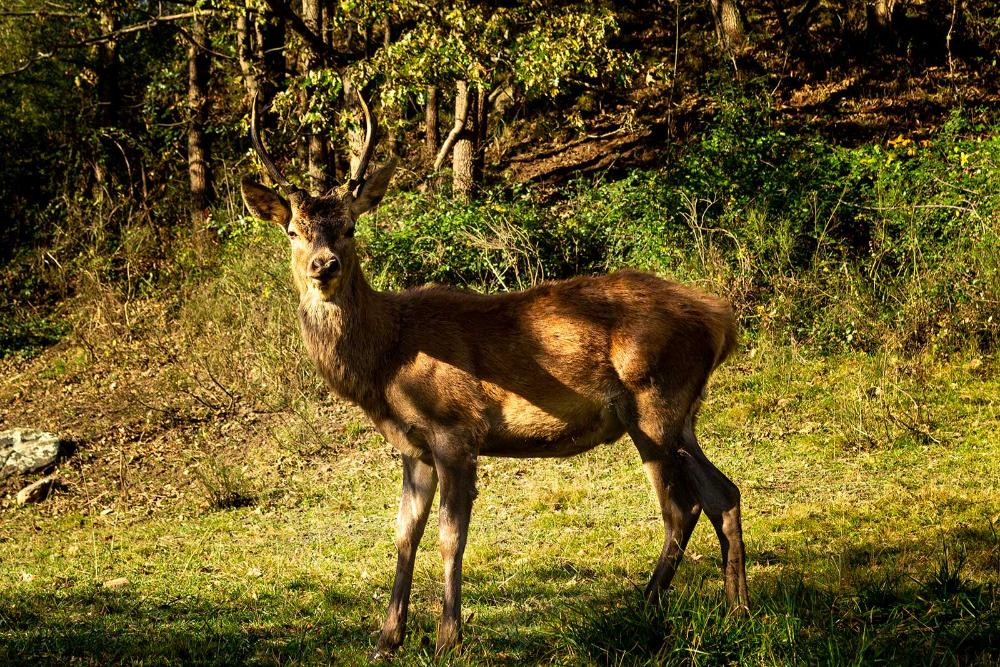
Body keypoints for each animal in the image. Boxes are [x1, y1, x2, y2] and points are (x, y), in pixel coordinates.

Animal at [240, 91, 748, 659]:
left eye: (350, 226)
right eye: (292, 231)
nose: (323, 265)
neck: (387, 360)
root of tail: (720, 320)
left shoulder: (456, 428)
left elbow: (450, 535)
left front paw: (448, 638)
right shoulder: (413, 445)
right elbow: (403, 533)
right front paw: (387, 639)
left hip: (655, 401)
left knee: (695, 500)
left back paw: (684, 608)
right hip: (678, 413)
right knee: (709, 498)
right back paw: (706, 608)